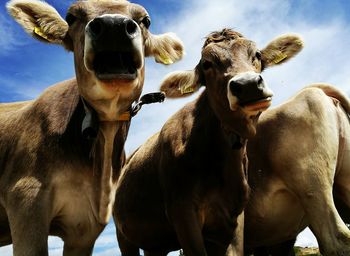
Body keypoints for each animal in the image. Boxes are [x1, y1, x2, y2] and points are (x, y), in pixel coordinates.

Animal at [113, 29, 304, 255]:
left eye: (257, 54)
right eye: (207, 64)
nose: (248, 85)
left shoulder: (232, 217)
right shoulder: (182, 211)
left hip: (155, 242)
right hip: (124, 236)